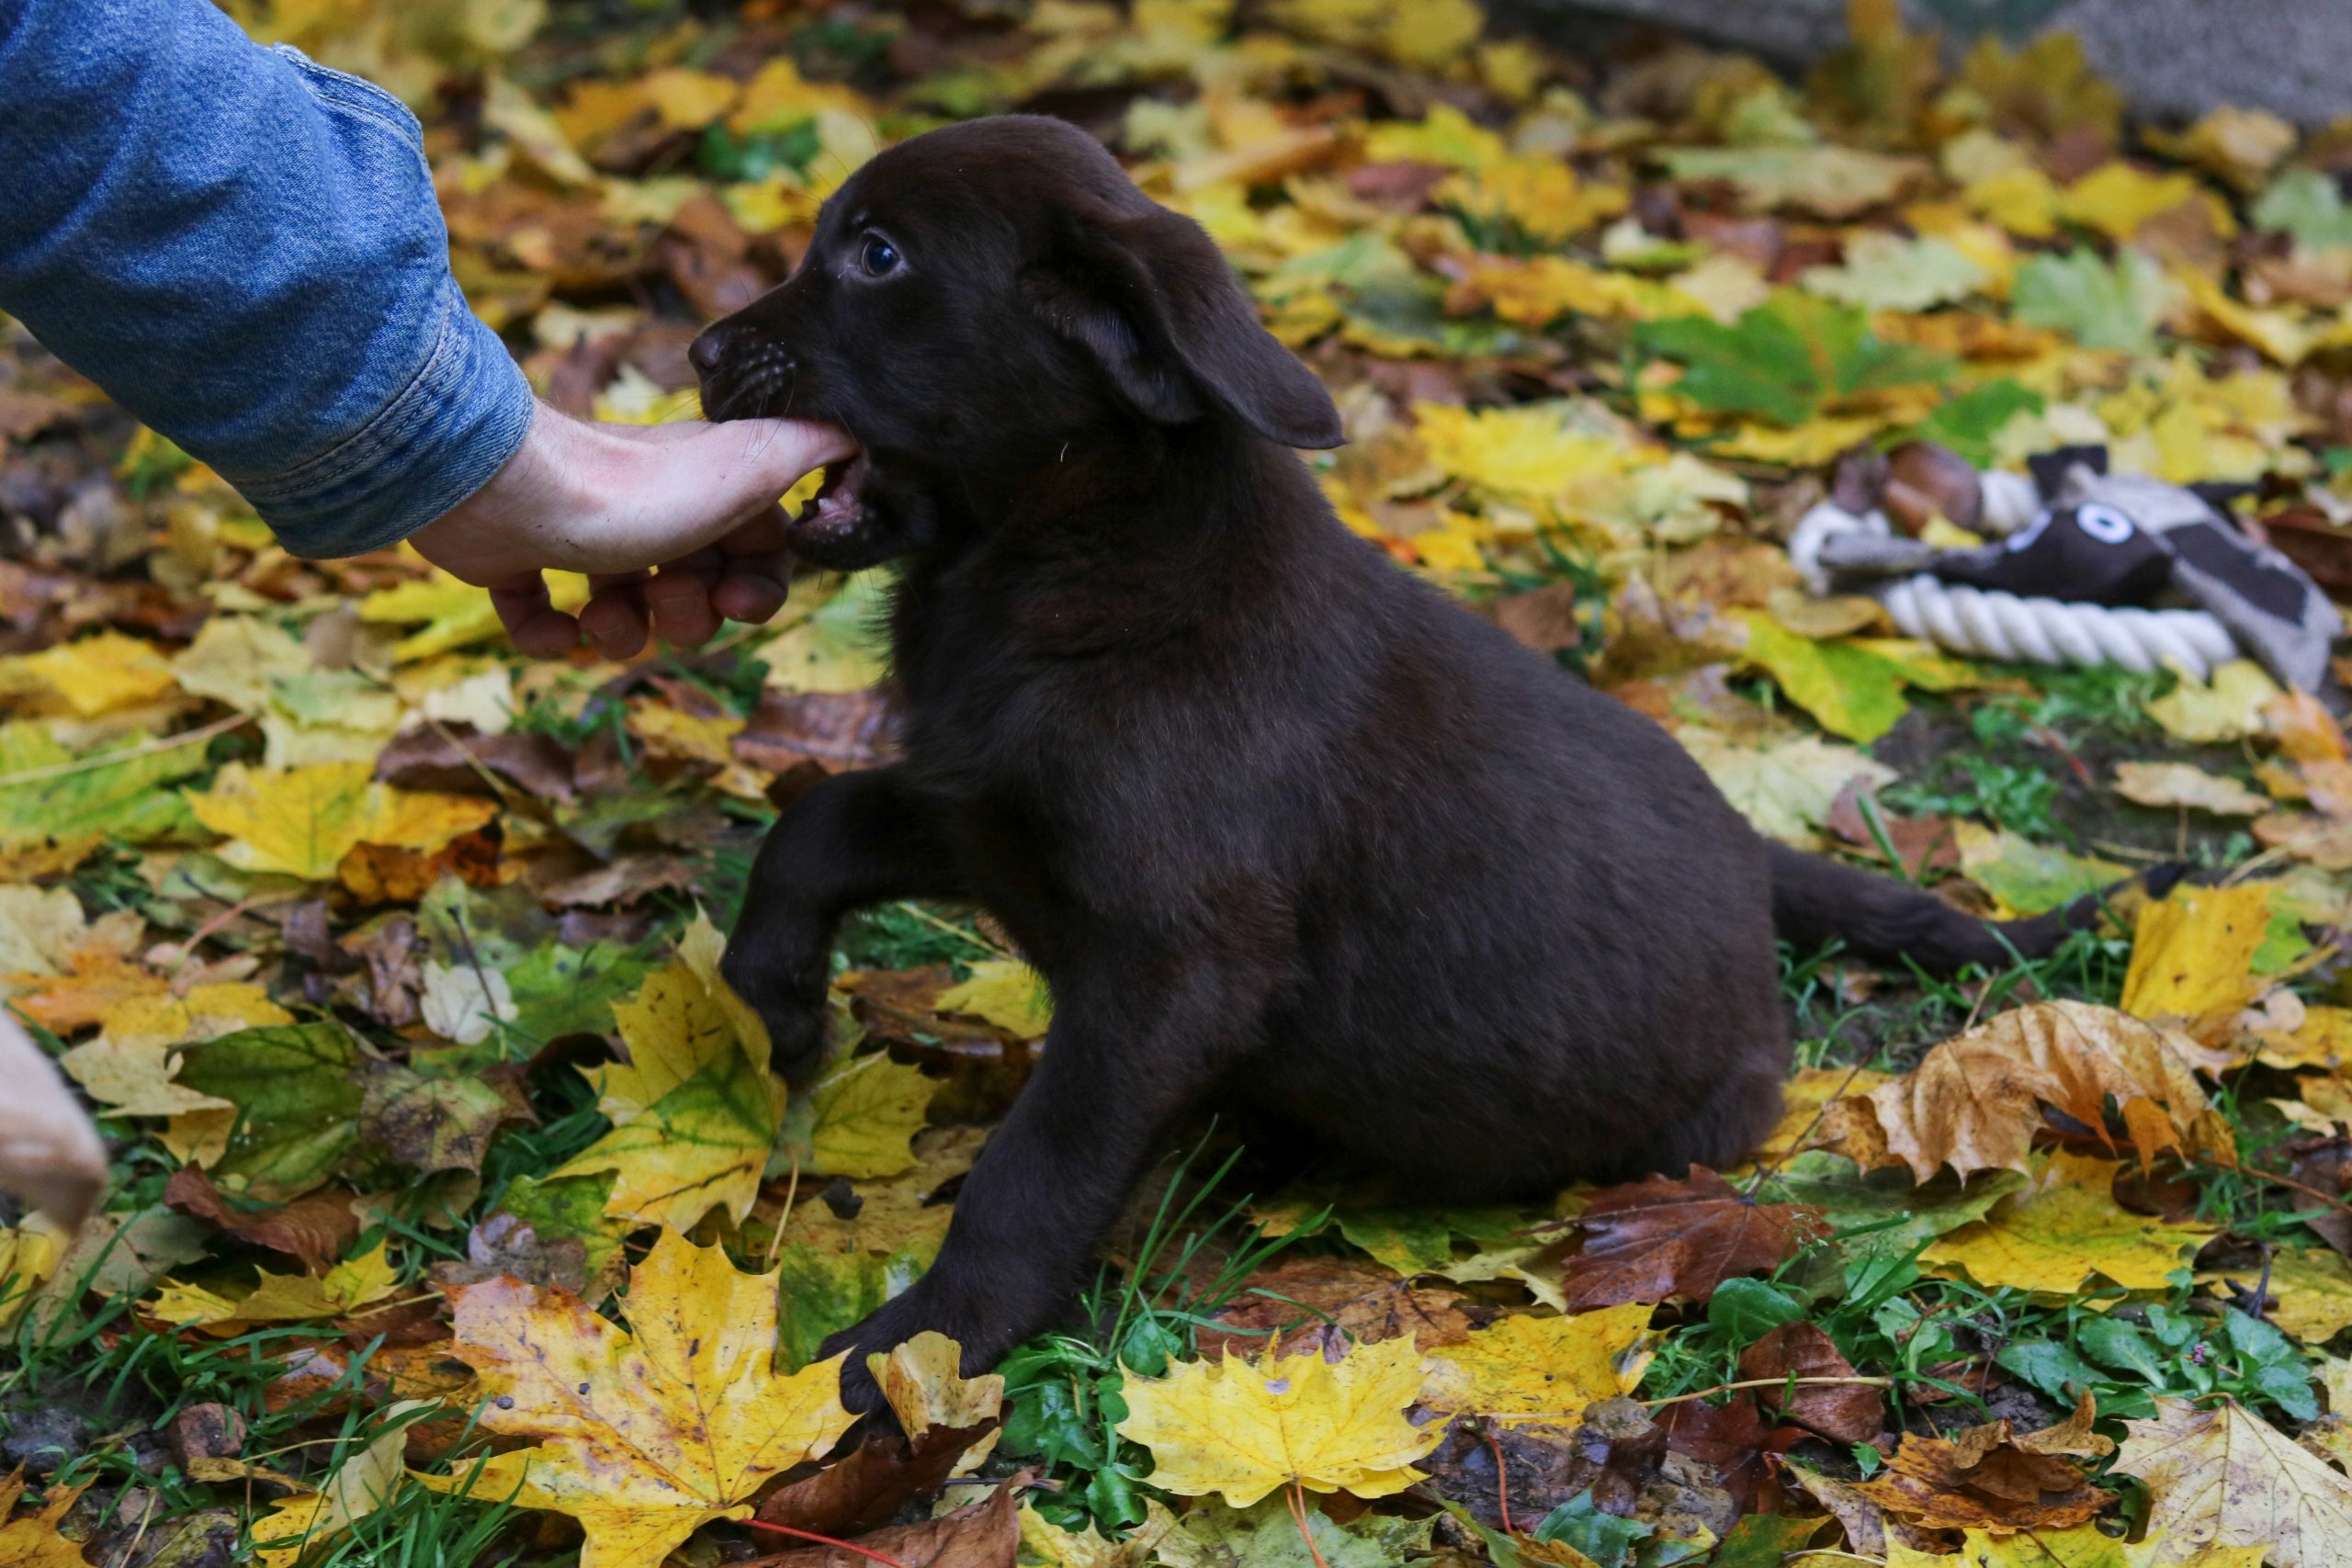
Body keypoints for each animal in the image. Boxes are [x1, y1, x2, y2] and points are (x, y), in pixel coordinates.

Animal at [692, 115, 2115, 1410]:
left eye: (877, 254)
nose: (699, 352)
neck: (1072, 562)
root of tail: (1756, 874)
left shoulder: (1169, 967)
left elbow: (1032, 1170)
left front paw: (915, 1353)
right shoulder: (976, 803)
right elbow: (816, 821)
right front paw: (777, 1001)